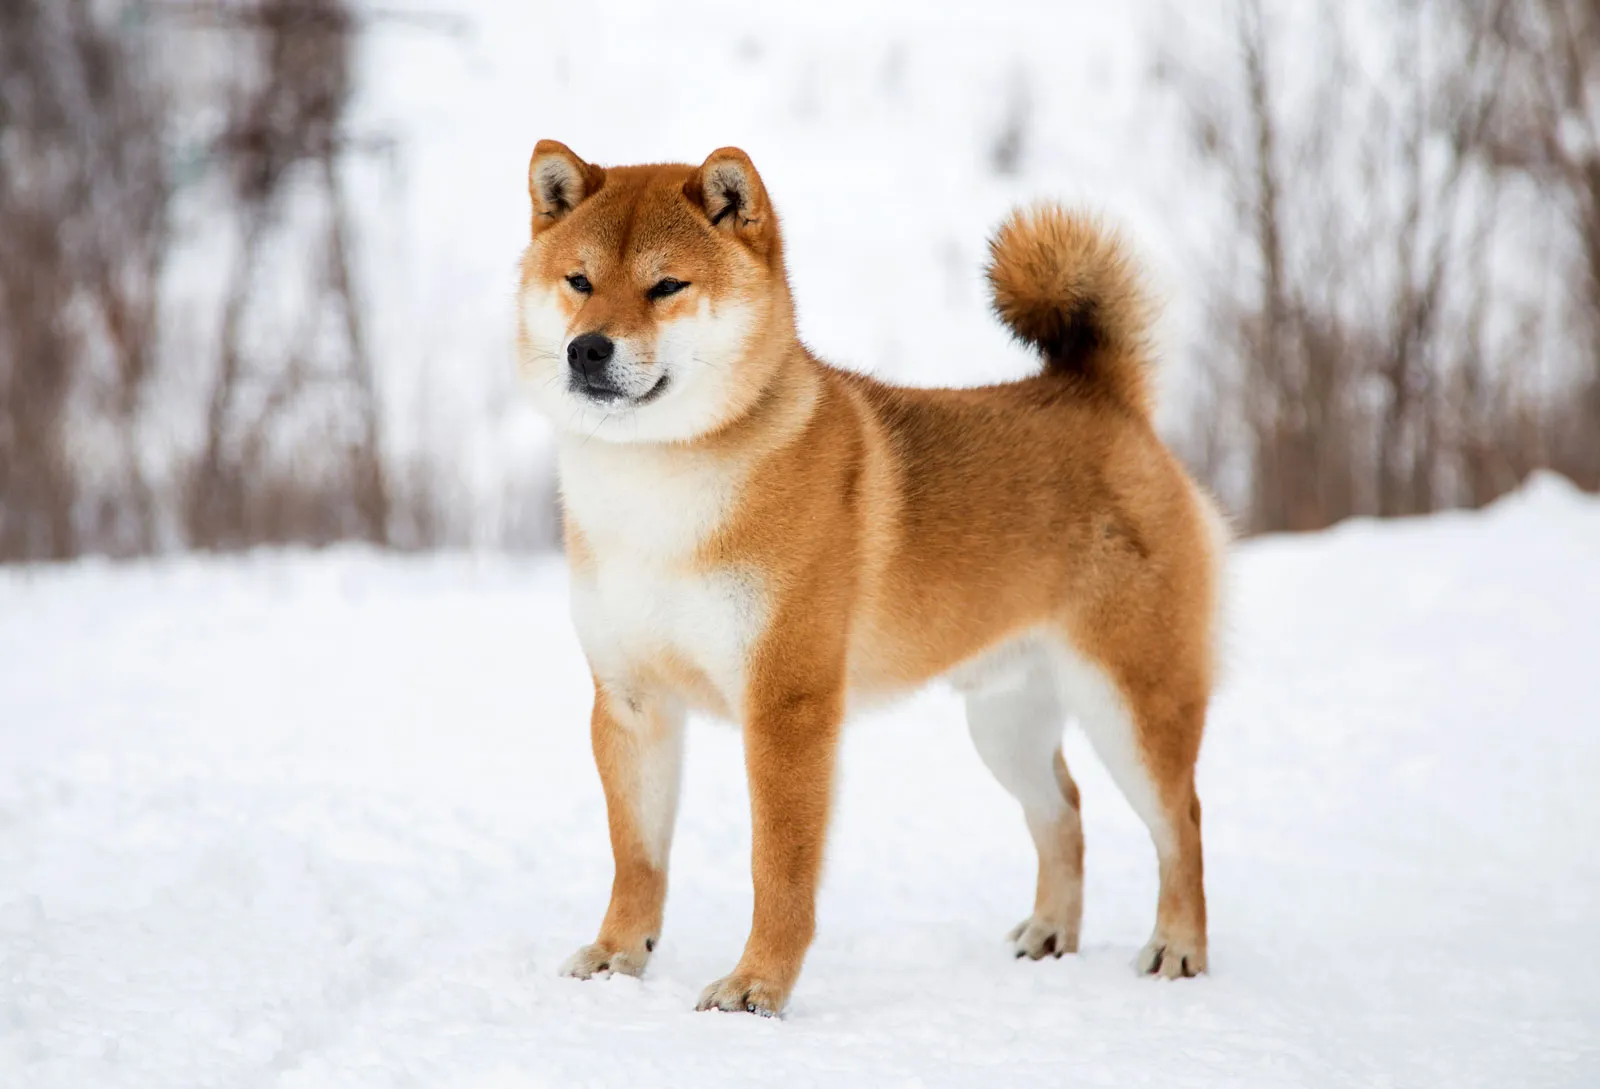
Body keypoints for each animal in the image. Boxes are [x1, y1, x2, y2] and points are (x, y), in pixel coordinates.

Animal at [518, 139, 1216, 1017]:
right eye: (578, 281)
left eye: (666, 285)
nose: (588, 349)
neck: (656, 498)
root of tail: (1106, 398)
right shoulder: (631, 699)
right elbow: (635, 856)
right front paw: (617, 955)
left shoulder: (786, 704)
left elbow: (778, 868)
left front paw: (757, 984)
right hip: (1006, 721)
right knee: (1065, 812)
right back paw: (1050, 933)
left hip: (1131, 704)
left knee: (1181, 821)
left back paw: (1179, 946)